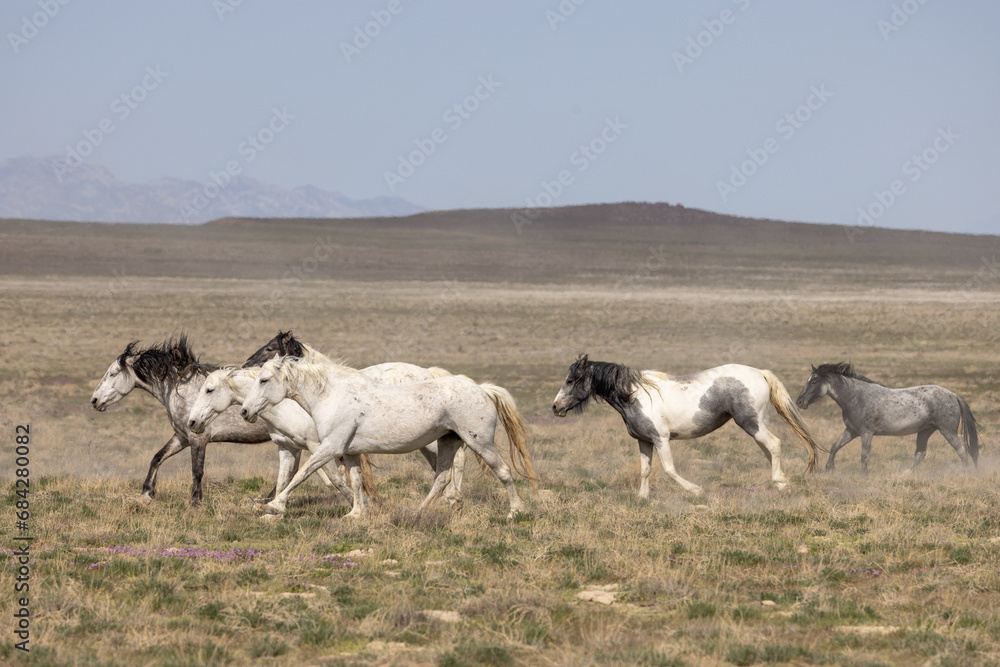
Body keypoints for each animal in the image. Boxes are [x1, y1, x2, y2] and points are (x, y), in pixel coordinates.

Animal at [239, 354, 534, 518]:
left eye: (264, 380)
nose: (244, 411)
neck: (332, 396)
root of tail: (482, 389)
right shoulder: (350, 452)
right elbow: (356, 481)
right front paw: (356, 514)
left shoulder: (330, 448)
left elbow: (303, 474)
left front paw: (275, 507)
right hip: (448, 441)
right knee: (441, 478)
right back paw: (419, 512)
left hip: (479, 442)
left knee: (503, 472)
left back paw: (516, 511)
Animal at [552, 355, 821, 497]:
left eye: (571, 380)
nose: (555, 407)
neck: (635, 395)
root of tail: (760, 372)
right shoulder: (644, 441)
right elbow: (645, 470)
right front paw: (642, 497)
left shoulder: (661, 439)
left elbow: (669, 470)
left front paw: (696, 490)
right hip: (757, 424)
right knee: (768, 449)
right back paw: (779, 481)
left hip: (750, 423)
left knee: (774, 444)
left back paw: (780, 482)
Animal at [795, 362, 980, 474]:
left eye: (814, 381)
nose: (799, 402)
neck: (856, 397)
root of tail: (953, 395)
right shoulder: (851, 431)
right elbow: (835, 446)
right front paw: (829, 468)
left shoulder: (866, 433)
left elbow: (864, 455)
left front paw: (863, 476)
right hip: (925, 431)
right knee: (920, 453)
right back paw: (904, 474)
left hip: (947, 431)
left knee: (961, 450)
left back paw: (967, 472)